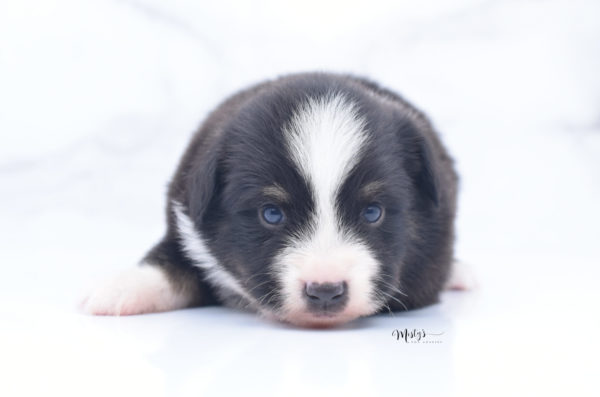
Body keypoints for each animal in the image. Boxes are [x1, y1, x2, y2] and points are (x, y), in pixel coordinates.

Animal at [83, 72, 460, 326]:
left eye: (372, 212)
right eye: (272, 214)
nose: (325, 291)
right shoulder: (184, 223)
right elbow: (172, 264)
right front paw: (121, 287)